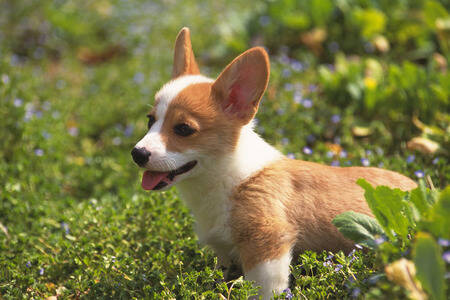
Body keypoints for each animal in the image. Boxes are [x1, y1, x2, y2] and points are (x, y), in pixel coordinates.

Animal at [131, 27, 418, 298]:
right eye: (150, 120)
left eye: (183, 129)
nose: (137, 154)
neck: (225, 176)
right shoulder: (224, 252)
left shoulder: (267, 243)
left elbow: (263, 290)